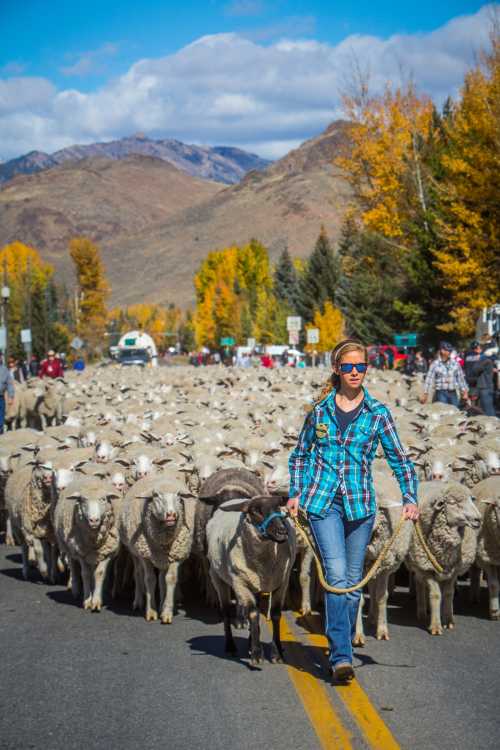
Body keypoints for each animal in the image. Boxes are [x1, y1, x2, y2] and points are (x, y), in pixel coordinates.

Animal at [53, 482, 122, 612]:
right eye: (83, 500)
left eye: (103, 499)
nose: (93, 520)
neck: (94, 539)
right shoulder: (81, 553)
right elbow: (84, 574)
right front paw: (87, 600)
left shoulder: (107, 553)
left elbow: (99, 573)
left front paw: (96, 601)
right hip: (69, 547)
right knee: (73, 566)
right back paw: (75, 590)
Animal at [118, 478, 197, 624]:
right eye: (155, 496)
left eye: (179, 496)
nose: (171, 515)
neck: (164, 539)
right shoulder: (146, 557)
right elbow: (149, 579)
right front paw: (151, 611)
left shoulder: (176, 556)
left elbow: (170, 579)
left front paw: (166, 612)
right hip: (135, 552)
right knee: (138, 574)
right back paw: (138, 601)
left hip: (161, 557)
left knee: (161, 578)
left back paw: (161, 604)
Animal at [406, 484, 480, 636]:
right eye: (453, 502)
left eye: (471, 500)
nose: (478, 519)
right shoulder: (426, 568)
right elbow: (435, 595)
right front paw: (435, 626)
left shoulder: (453, 571)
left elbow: (448, 594)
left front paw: (448, 621)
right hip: (418, 564)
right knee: (419, 583)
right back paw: (422, 612)